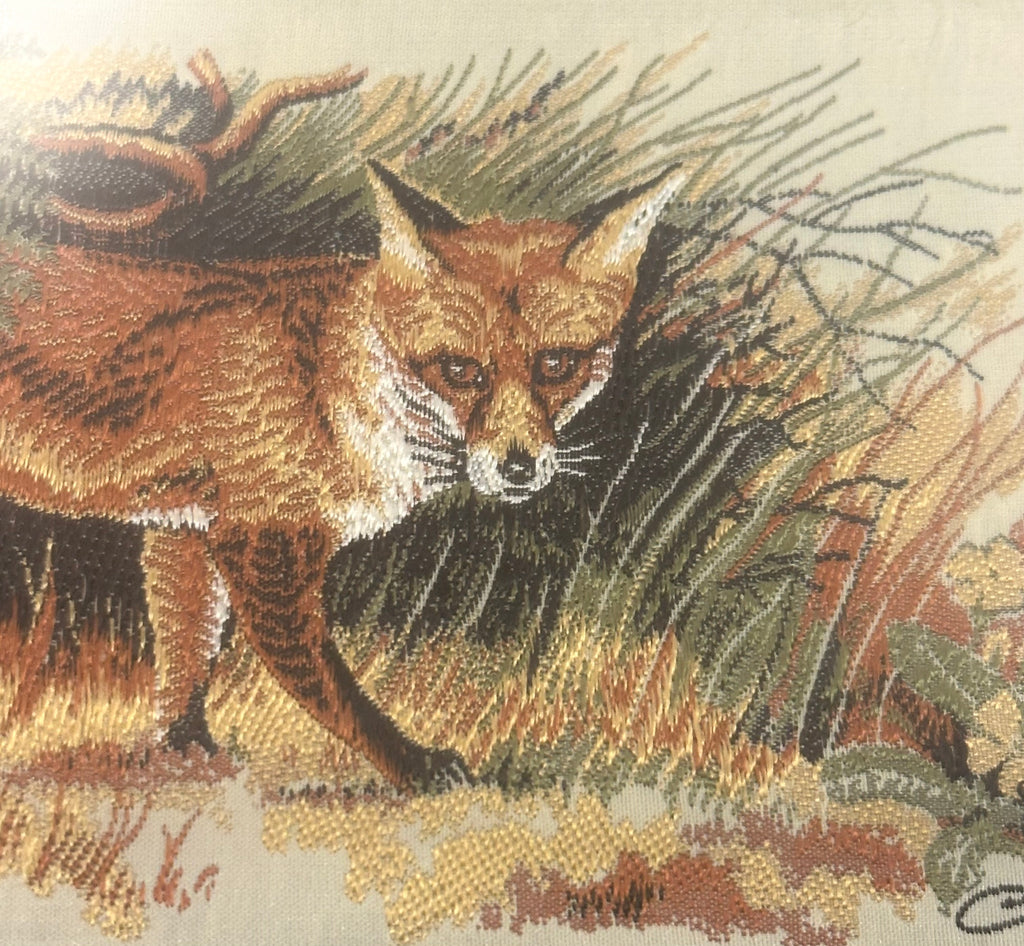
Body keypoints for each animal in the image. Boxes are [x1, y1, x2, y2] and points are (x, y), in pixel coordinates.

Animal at [0, 152, 684, 790]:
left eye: (557, 364)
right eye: (460, 371)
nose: (518, 466)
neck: (328, 386)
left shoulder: (184, 532)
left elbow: (185, 665)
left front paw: (180, 757)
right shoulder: (261, 543)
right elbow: (334, 692)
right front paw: (413, 766)